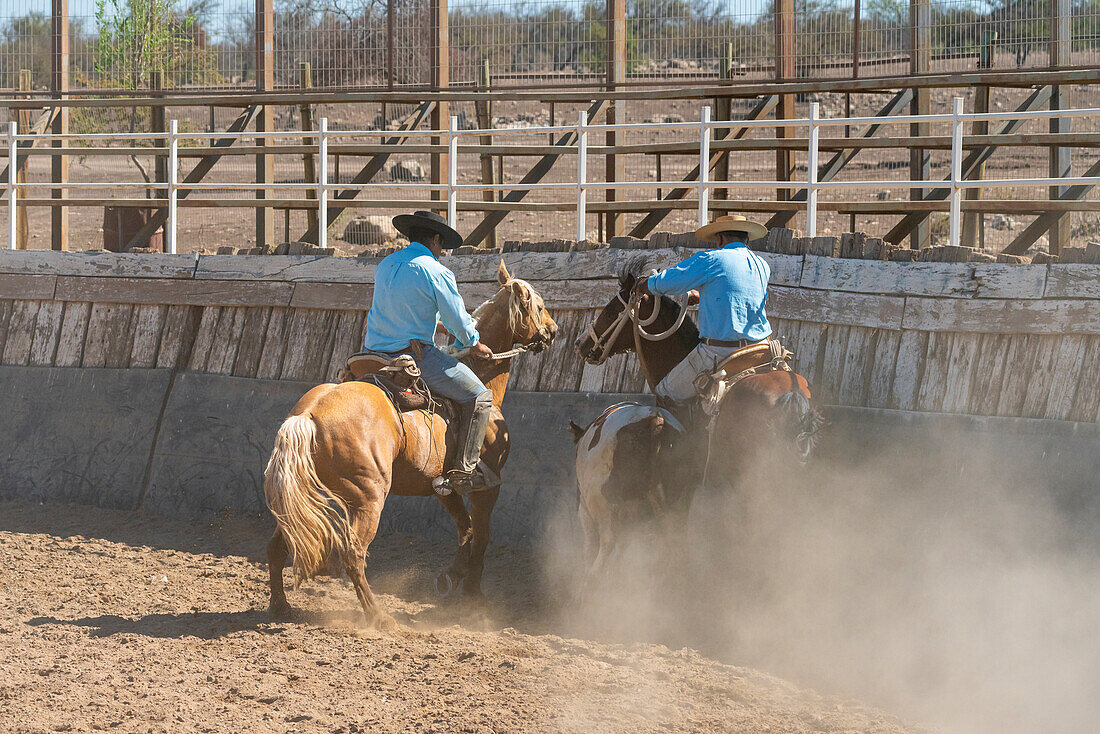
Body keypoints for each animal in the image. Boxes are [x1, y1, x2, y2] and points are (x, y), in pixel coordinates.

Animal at [266, 259, 558, 625]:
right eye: (539, 306)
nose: (554, 330)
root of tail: (308, 415)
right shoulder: (488, 485)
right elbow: (481, 536)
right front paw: (472, 592)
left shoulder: (441, 486)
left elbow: (465, 530)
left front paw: (451, 576)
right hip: (369, 497)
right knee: (353, 553)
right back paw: (379, 617)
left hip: (310, 497)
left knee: (279, 545)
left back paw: (281, 606)